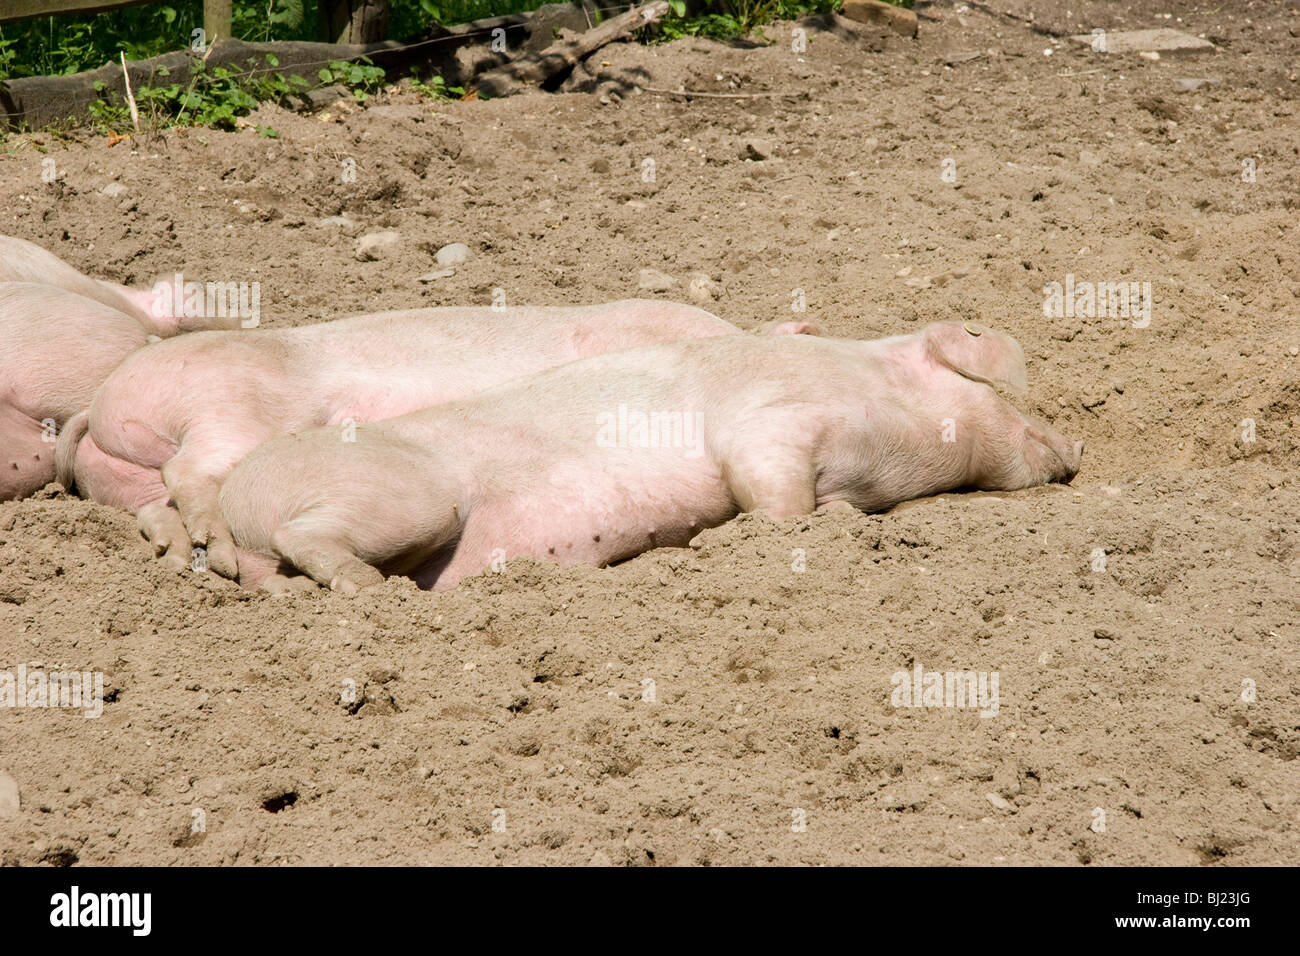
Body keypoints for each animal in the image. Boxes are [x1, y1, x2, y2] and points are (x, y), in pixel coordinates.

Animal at [55, 300, 790, 582]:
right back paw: (221, 556)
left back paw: (191, 556)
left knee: (159, 503)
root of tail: (102, 406)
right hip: (231, 410)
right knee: (188, 473)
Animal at [223, 321, 1086, 590]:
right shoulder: (772, 420)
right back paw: (374, 593)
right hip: (409, 499)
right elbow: (771, 490)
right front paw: (763, 538)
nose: (1078, 445)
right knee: (310, 538)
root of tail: (235, 508)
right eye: (1007, 393)